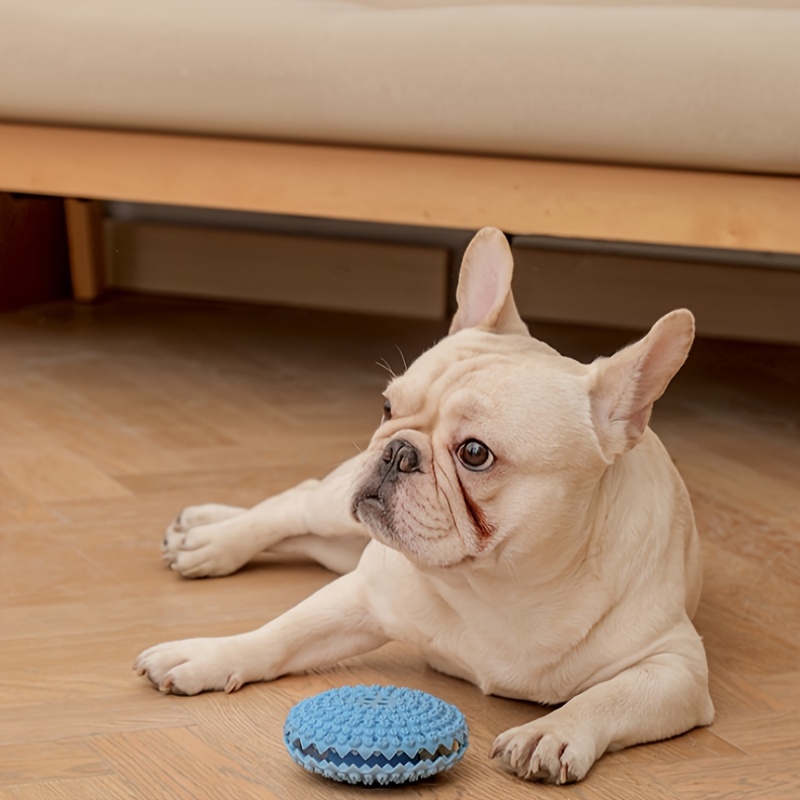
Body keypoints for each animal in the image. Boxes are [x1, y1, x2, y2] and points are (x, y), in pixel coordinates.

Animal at [134, 228, 716, 784]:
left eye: (475, 454)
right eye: (387, 406)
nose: (397, 450)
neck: (502, 587)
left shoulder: (676, 670)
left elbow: (608, 696)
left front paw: (551, 732)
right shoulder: (364, 595)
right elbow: (278, 634)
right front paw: (209, 654)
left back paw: (201, 531)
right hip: (338, 508)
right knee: (296, 502)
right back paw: (211, 538)